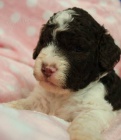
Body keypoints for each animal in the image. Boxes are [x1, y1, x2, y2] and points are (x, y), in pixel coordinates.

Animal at [5, 7, 121, 140]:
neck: (63, 95)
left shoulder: (98, 109)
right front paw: (7, 106)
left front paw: (84, 135)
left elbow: (85, 120)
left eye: (78, 49)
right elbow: (25, 103)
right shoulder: (40, 100)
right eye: (45, 42)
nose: (47, 69)